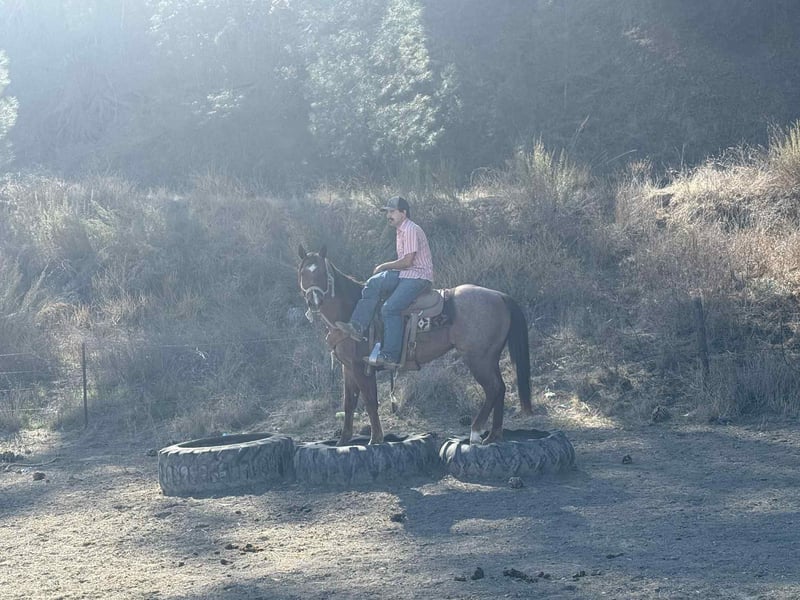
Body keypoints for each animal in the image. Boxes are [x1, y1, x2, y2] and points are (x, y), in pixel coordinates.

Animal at [297, 245, 532, 446]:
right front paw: (342, 442)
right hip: (490, 358)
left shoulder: (362, 368)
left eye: (320, 272)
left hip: (478, 358)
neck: (352, 313)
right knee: (500, 388)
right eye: (302, 274)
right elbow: (349, 404)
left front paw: (376, 439)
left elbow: (370, 401)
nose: (313, 301)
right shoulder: (347, 367)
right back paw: (493, 435)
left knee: (493, 389)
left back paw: (476, 431)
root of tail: (500, 296)